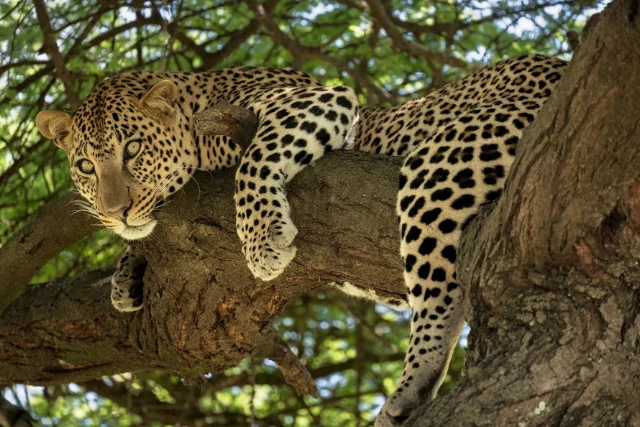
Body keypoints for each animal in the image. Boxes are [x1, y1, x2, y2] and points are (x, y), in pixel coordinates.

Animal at [36, 53, 567, 426]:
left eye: (133, 150)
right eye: (85, 165)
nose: (114, 212)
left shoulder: (312, 101)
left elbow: (253, 161)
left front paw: (262, 237)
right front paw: (127, 273)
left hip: (439, 164)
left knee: (441, 297)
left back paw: (409, 389)